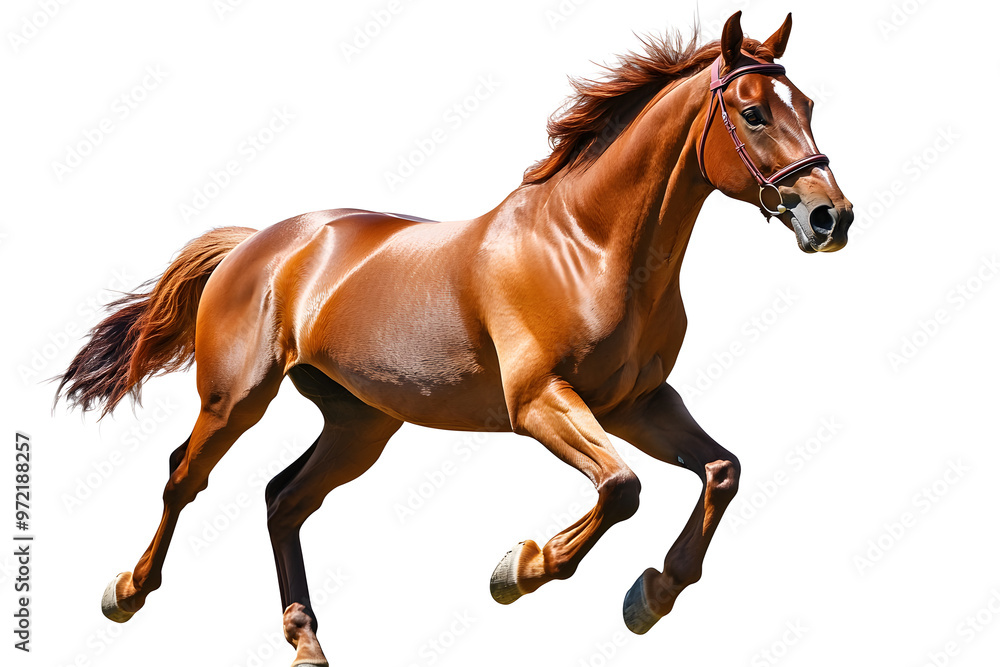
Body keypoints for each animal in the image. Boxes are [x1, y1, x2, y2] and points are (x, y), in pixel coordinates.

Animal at [57, 11, 852, 666]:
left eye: (808, 106)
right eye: (753, 113)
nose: (830, 217)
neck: (587, 246)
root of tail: (259, 242)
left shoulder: (639, 404)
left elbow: (721, 471)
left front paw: (650, 595)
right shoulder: (539, 402)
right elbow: (622, 488)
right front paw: (519, 569)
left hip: (360, 424)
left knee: (284, 499)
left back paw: (307, 640)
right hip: (234, 400)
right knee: (183, 477)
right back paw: (127, 590)